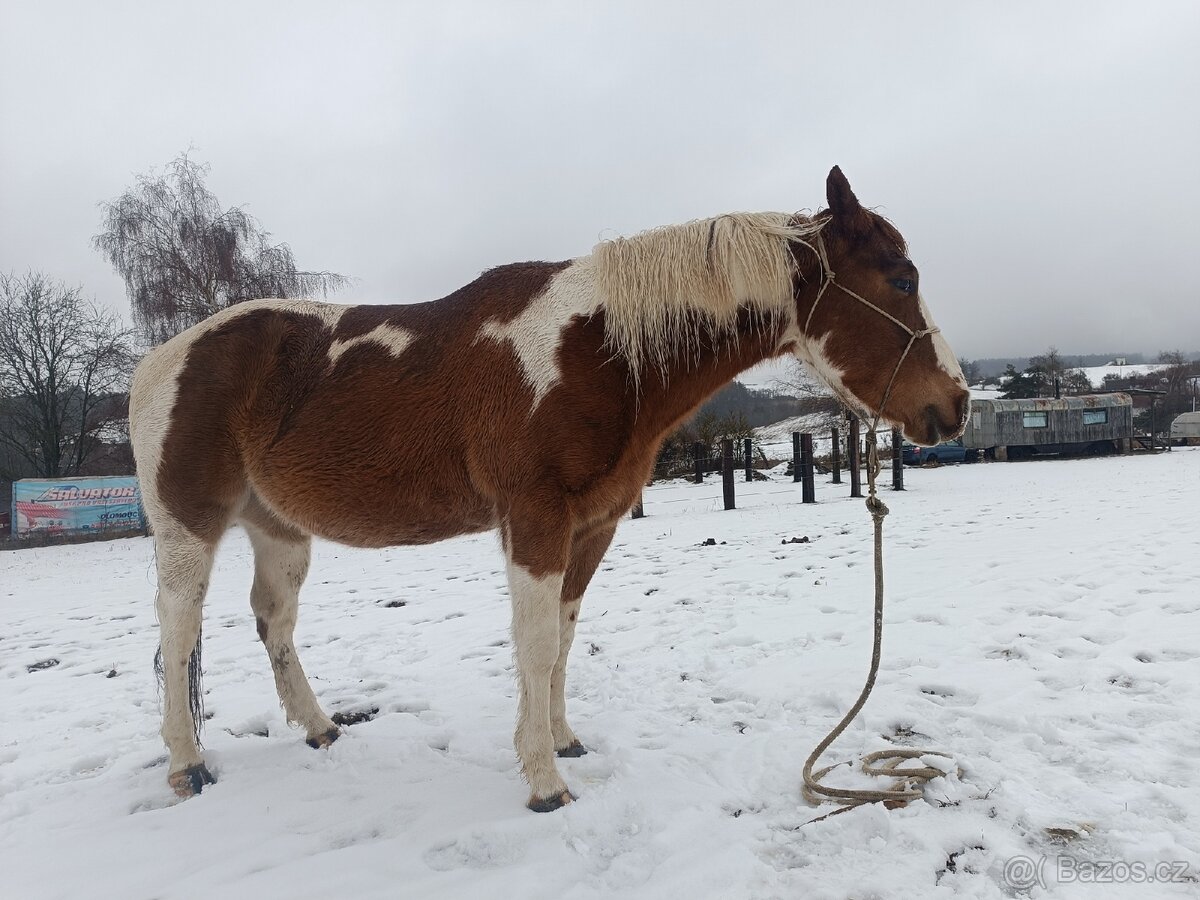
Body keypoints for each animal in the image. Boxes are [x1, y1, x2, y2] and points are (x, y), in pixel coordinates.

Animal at [129, 167, 969, 812]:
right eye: (900, 279)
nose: (954, 405)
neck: (592, 354)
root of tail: (158, 362)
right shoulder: (534, 520)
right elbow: (533, 646)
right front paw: (543, 783)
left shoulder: (591, 525)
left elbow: (563, 637)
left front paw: (564, 741)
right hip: (188, 524)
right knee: (178, 628)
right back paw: (187, 765)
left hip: (279, 529)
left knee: (273, 621)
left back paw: (320, 728)